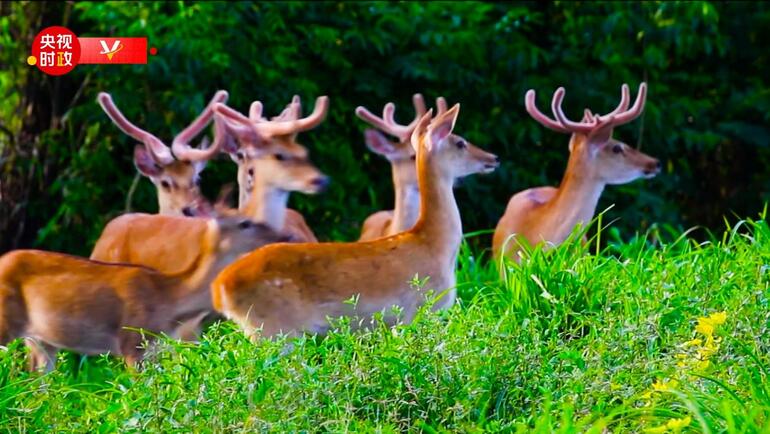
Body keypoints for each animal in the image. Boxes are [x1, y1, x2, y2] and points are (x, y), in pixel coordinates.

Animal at [0, 215, 288, 372]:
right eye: (244, 222)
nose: (283, 235)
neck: (168, 301)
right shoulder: (131, 343)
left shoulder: (155, 349)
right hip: (7, 324)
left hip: (41, 340)